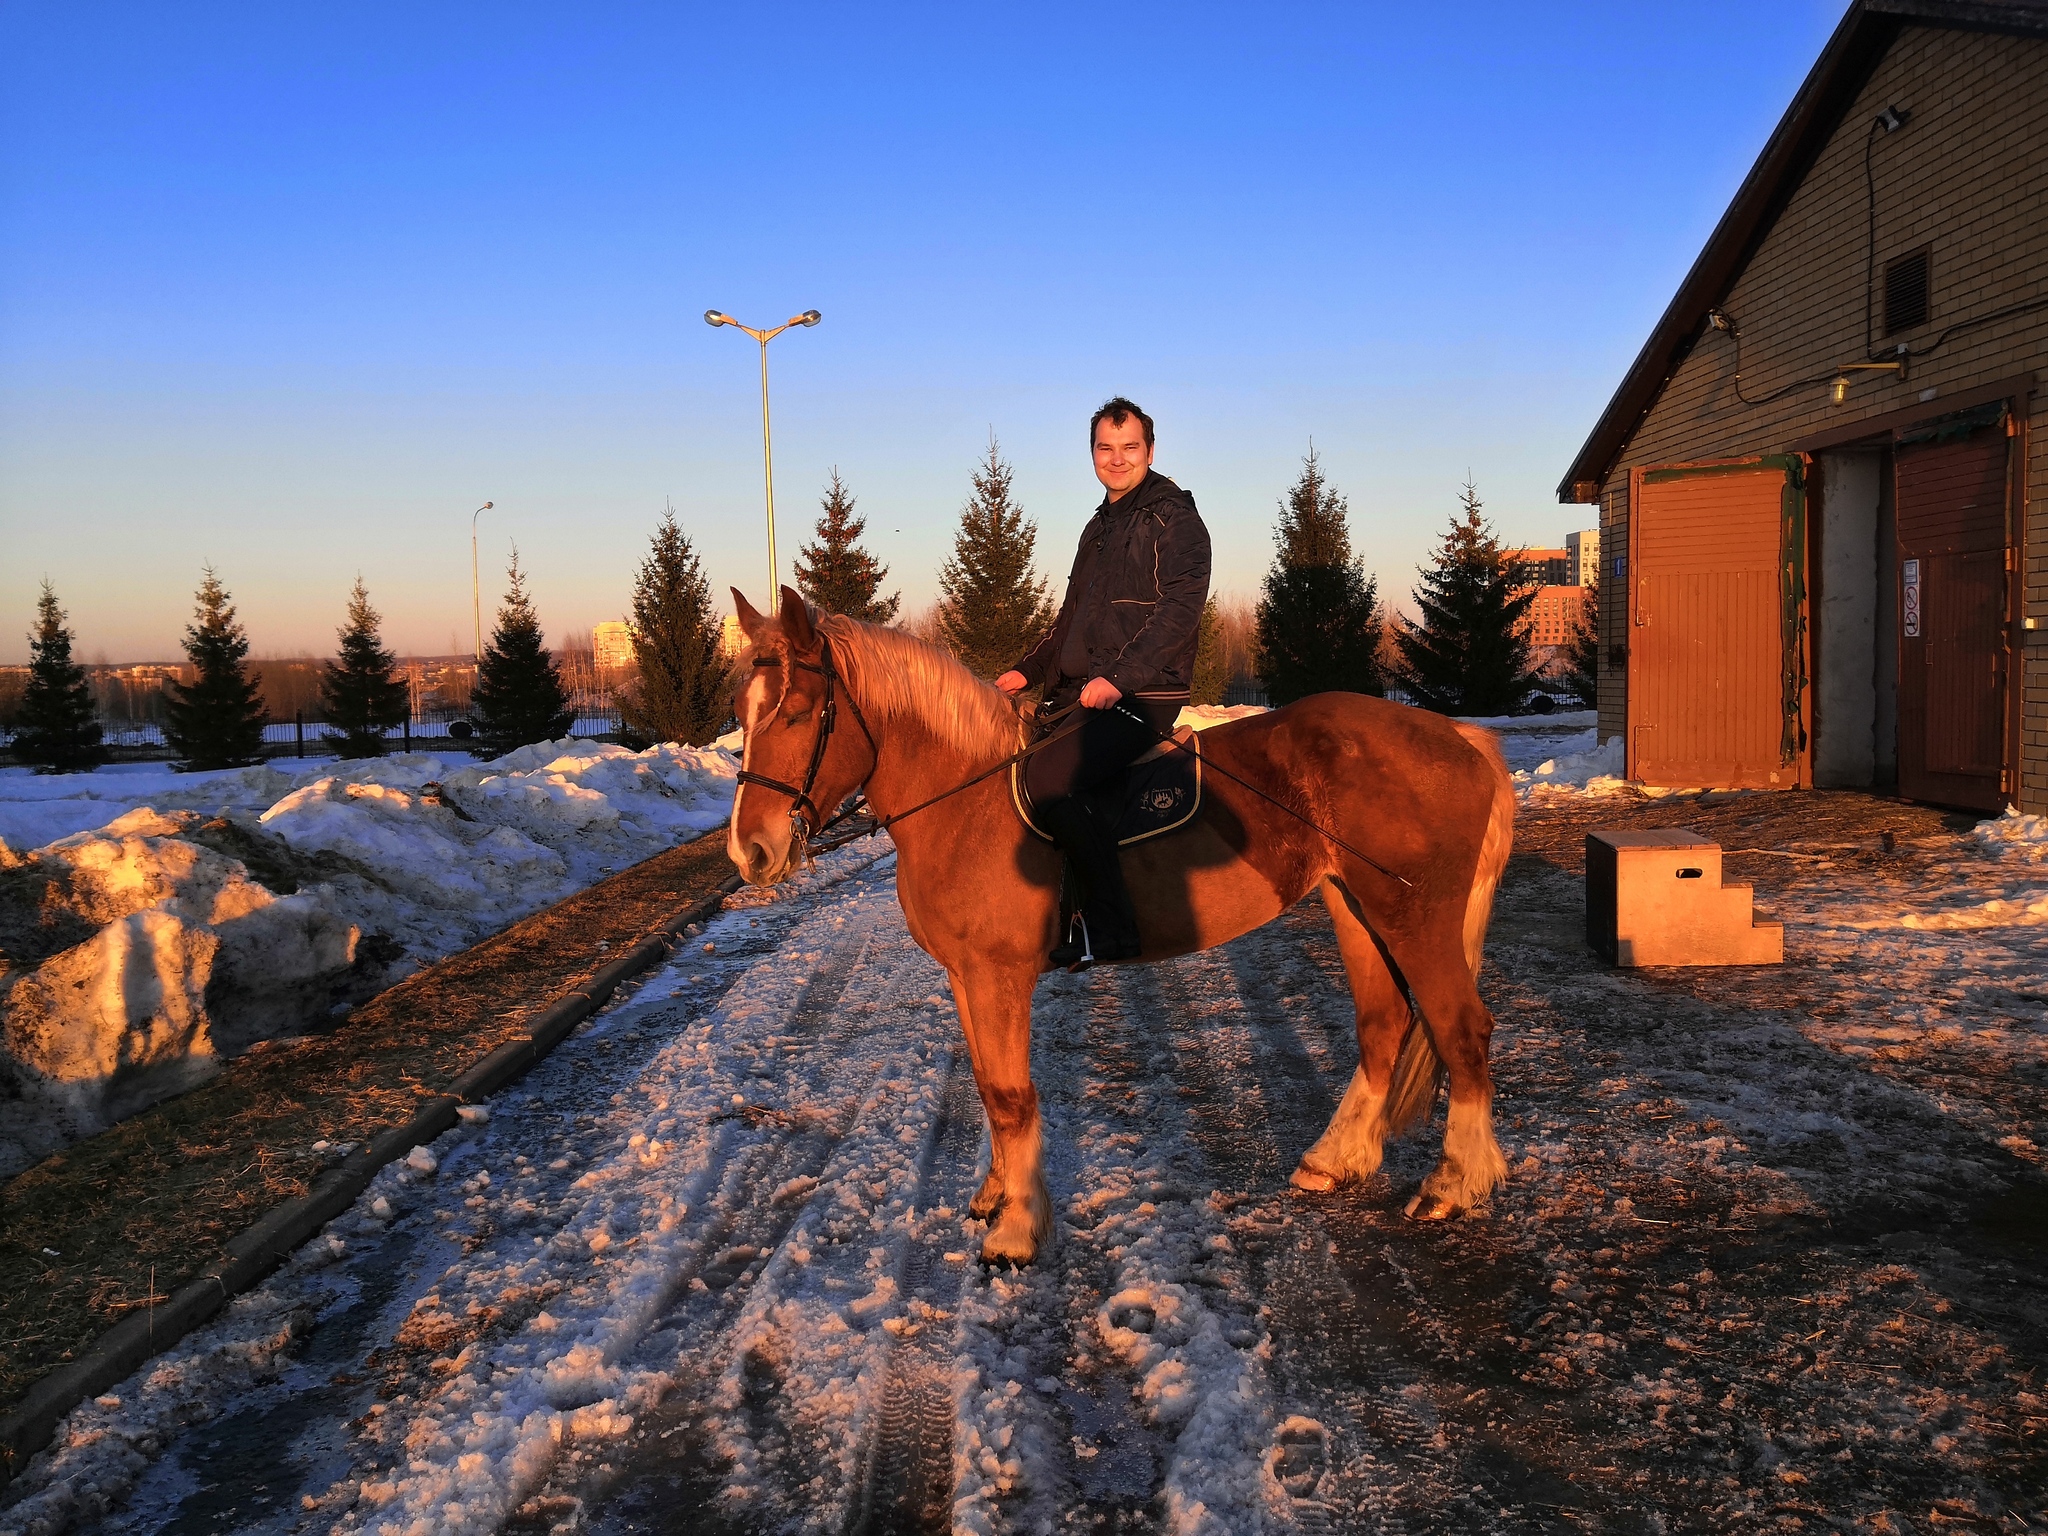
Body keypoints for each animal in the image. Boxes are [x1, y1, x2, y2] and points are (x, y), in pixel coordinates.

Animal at [729, 585, 1515, 1261]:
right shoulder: (965, 976)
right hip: (1353, 906)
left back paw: (1452, 1184)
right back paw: (1335, 1160)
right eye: (742, 711)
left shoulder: (998, 976)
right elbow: (986, 1086)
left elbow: (1011, 1096)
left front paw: (1018, 1229)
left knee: (1461, 1030)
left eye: (799, 712)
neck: (966, 798)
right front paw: (996, 1195)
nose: (750, 850)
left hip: (1415, 918)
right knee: (1384, 1024)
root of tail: (1459, 736)